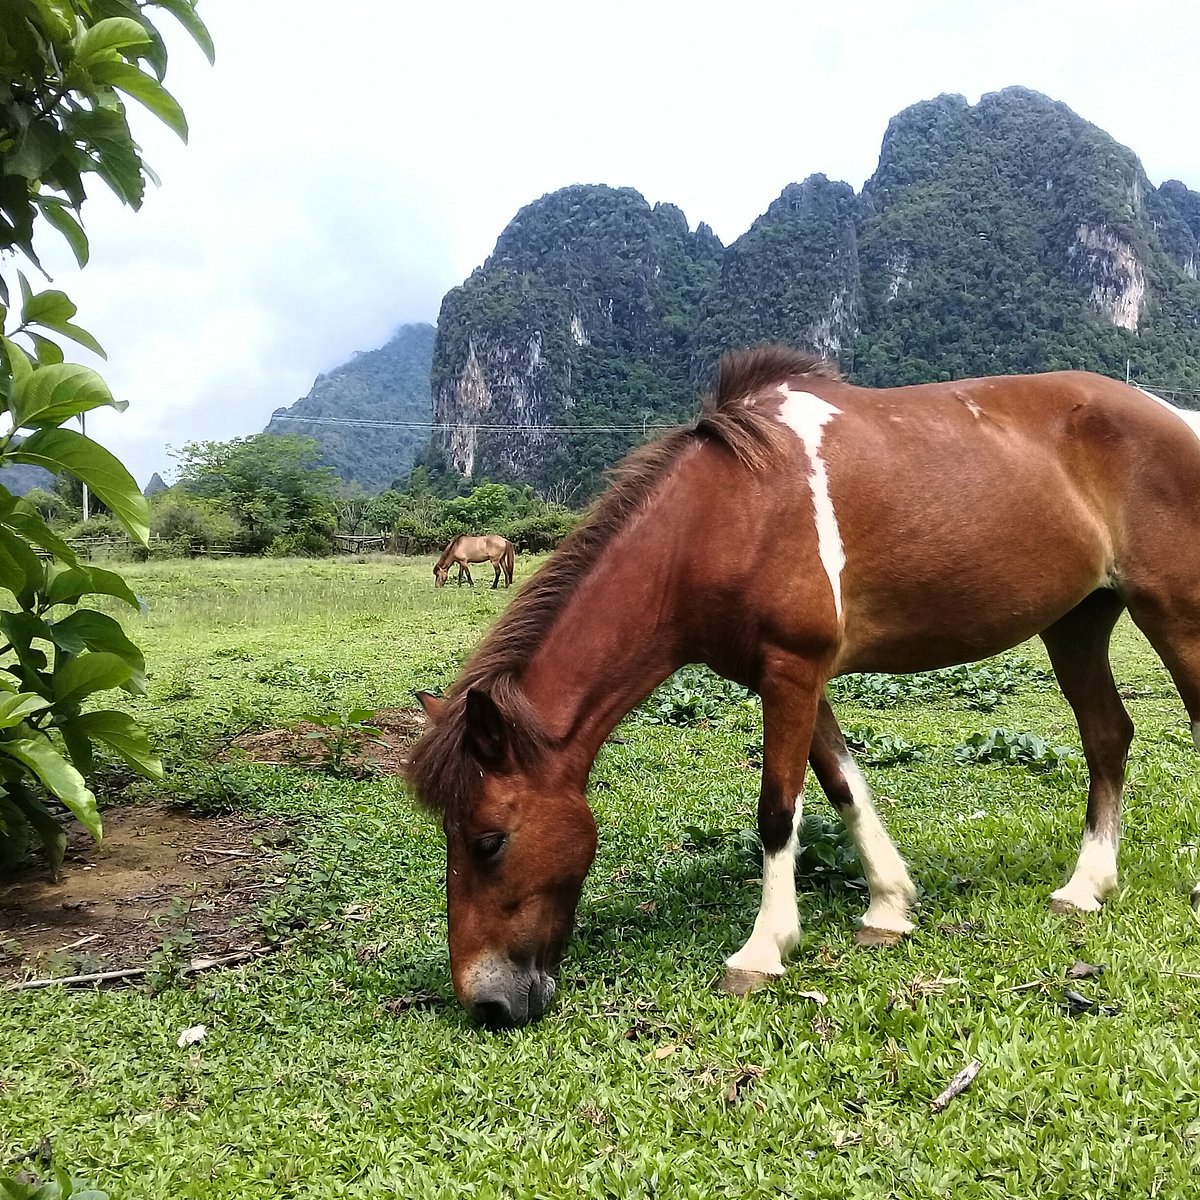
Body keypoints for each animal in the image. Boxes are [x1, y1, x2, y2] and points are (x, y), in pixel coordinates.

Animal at [408, 343, 1200, 1027]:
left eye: (488, 841)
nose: (487, 1003)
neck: (725, 516)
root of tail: (1175, 416)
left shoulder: (791, 670)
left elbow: (777, 811)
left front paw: (764, 950)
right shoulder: (796, 676)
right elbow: (844, 785)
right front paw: (888, 907)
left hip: (1173, 610)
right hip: (1077, 622)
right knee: (1107, 736)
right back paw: (1085, 887)